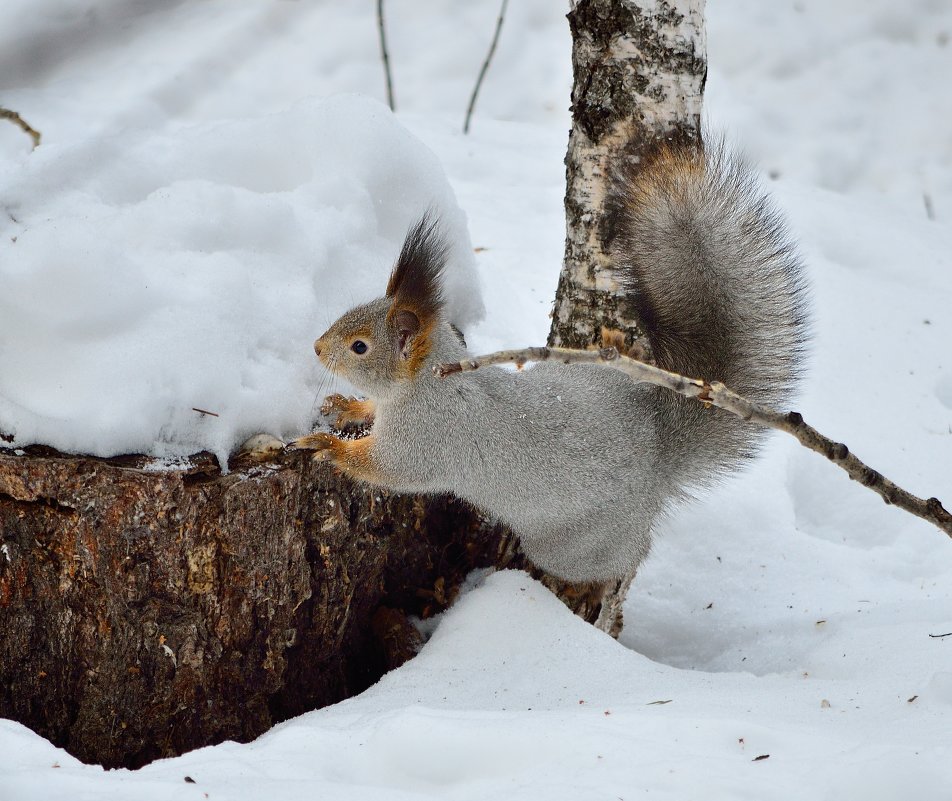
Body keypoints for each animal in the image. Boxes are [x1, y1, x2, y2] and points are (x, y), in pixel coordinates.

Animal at [292, 139, 812, 580]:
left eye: (360, 346)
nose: (316, 347)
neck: (427, 381)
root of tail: (658, 451)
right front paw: (348, 407)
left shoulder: (426, 438)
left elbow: (387, 469)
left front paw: (327, 445)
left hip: (576, 544)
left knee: (626, 556)